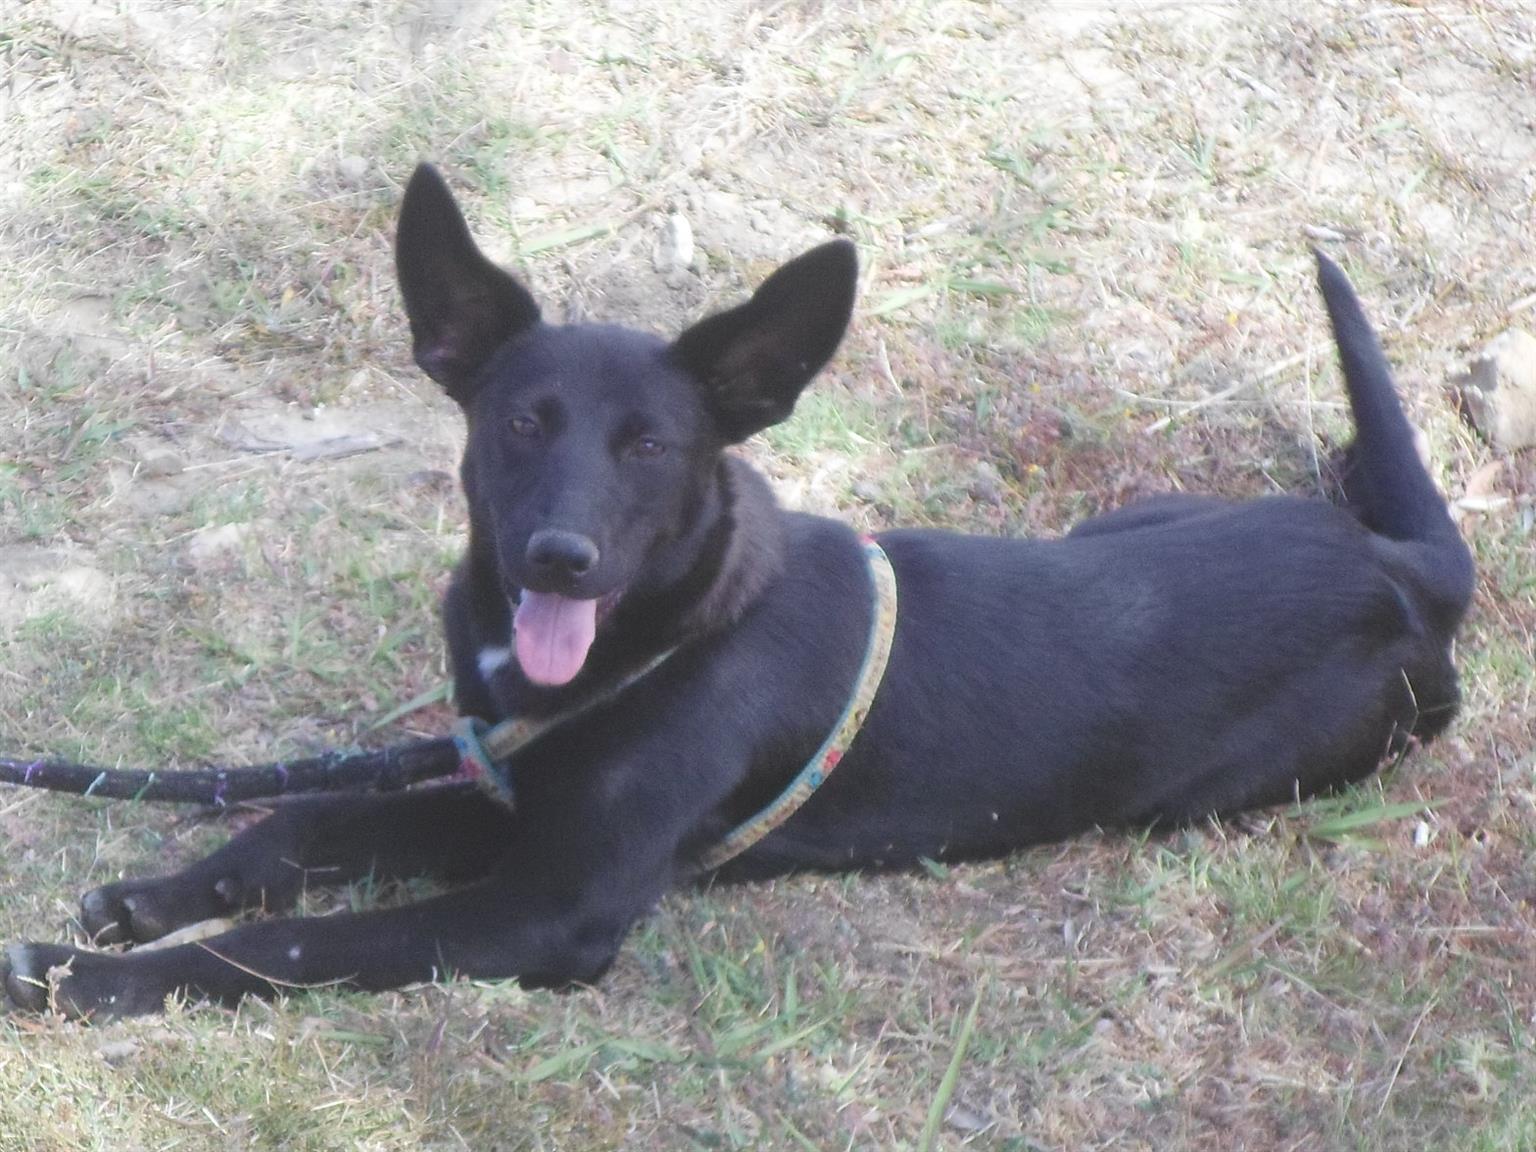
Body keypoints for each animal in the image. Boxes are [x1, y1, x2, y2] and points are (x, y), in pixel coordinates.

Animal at [9, 164, 1474, 1019]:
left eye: (653, 446)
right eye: (521, 423)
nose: (559, 561)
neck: (668, 632)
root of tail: (1400, 565)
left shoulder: (553, 903)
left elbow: (290, 947)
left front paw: (99, 976)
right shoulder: (511, 797)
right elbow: (309, 819)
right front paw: (153, 894)